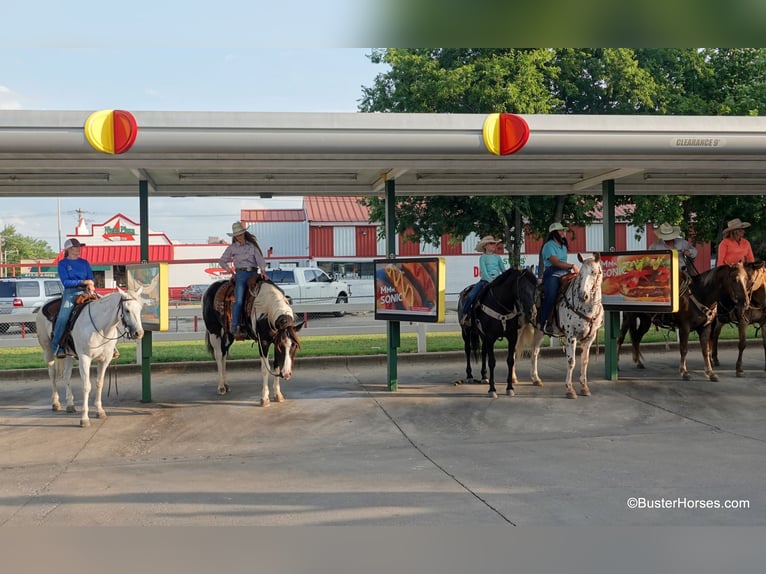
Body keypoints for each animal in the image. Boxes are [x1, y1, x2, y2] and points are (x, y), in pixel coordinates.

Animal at [35, 288, 146, 428]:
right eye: (127, 310)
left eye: (140, 309)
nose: (139, 333)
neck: (100, 327)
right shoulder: (84, 358)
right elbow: (87, 386)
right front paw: (84, 418)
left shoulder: (105, 360)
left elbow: (99, 383)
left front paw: (100, 411)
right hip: (48, 350)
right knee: (52, 374)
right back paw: (55, 403)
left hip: (69, 355)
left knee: (66, 375)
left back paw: (70, 404)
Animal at [204, 276, 304, 408]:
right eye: (281, 347)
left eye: (294, 346)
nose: (287, 374)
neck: (267, 310)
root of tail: (210, 289)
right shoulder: (264, 342)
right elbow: (265, 369)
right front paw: (264, 398)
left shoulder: (274, 341)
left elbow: (276, 365)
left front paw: (278, 395)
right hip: (214, 331)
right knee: (219, 356)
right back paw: (221, 387)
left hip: (228, 334)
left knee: (224, 354)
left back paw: (226, 385)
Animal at [460, 268, 544, 398]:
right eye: (522, 289)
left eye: (535, 289)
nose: (533, 312)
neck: (501, 306)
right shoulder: (490, 337)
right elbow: (492, 362)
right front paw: (492, 390)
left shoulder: (512, 336)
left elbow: (510, 361)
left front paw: (510, 388)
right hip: (466, 332)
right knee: (468, 350)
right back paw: (469, 376)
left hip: (482, 335)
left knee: (483, 351)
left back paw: (484, 376)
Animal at [616, 264, 752, 382]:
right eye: (734, 279)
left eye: (747, 279)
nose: (745, 302)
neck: (701, 294)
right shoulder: (684, 327)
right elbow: (684, 349)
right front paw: (684, 372)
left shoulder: (705, 327)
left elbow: (705, 350)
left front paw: (710, 373)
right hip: (628, 318)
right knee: (620, 339)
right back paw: (616, 365)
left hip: (645, 321)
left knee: (637, 338)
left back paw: (638, 362)